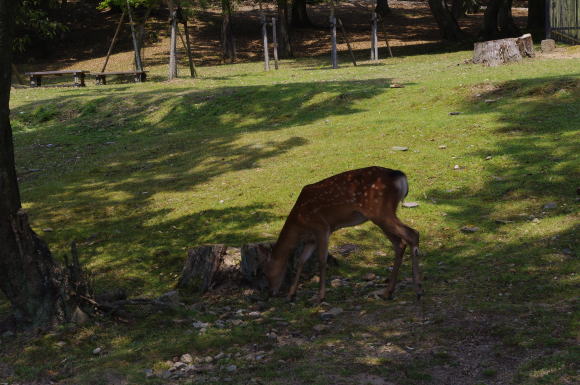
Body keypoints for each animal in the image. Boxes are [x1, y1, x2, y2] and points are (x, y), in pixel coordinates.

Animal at [262, 166, 422, 302]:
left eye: (266, 272)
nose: (270, 293)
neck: (299, 222)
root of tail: (399, 176)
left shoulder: (322, 227)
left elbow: (322, 260)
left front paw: (320, 296)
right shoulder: (311, 239)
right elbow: (301, 260)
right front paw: (291, 294)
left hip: (380, 211)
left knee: (412, 234)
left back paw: (418, 290)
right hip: (382, 215)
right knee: (399, 243)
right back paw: (388, 292)